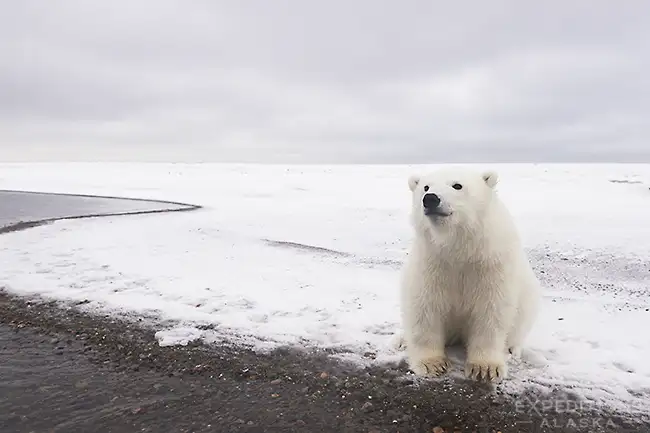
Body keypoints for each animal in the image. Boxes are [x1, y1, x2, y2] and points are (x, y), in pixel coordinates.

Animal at [397, 166, 541, 383]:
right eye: (426, 186)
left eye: (457, 185)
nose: (430, 199)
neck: (460, 248)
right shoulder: (432, 262)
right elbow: (425, 307)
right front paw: (432, 364)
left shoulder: (490, 264)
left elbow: (490, 311)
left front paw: (485, 368)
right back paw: (400, 340)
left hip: (528, 300)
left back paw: (512, 349)